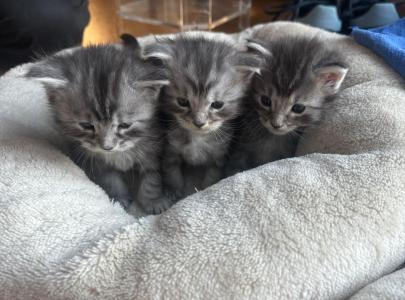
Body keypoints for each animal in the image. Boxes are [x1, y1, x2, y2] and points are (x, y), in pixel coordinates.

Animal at [25, 43, 170, 214]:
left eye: (124, 125)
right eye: (87, 125)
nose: (107, 147)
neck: (118, 154)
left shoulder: (153, 151)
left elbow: (151, 179)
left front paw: (153, 202)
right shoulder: (96, 164)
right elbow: (111, 181)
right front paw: (119, 200)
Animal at [141, 32, 262, 198]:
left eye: (217, 105)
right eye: (182, 102)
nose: (199, 122)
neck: (198, 136)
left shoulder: (218, 157)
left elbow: (212, 177)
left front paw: (205, 191)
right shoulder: (170, 151)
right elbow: (172, 173)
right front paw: (174, 191)